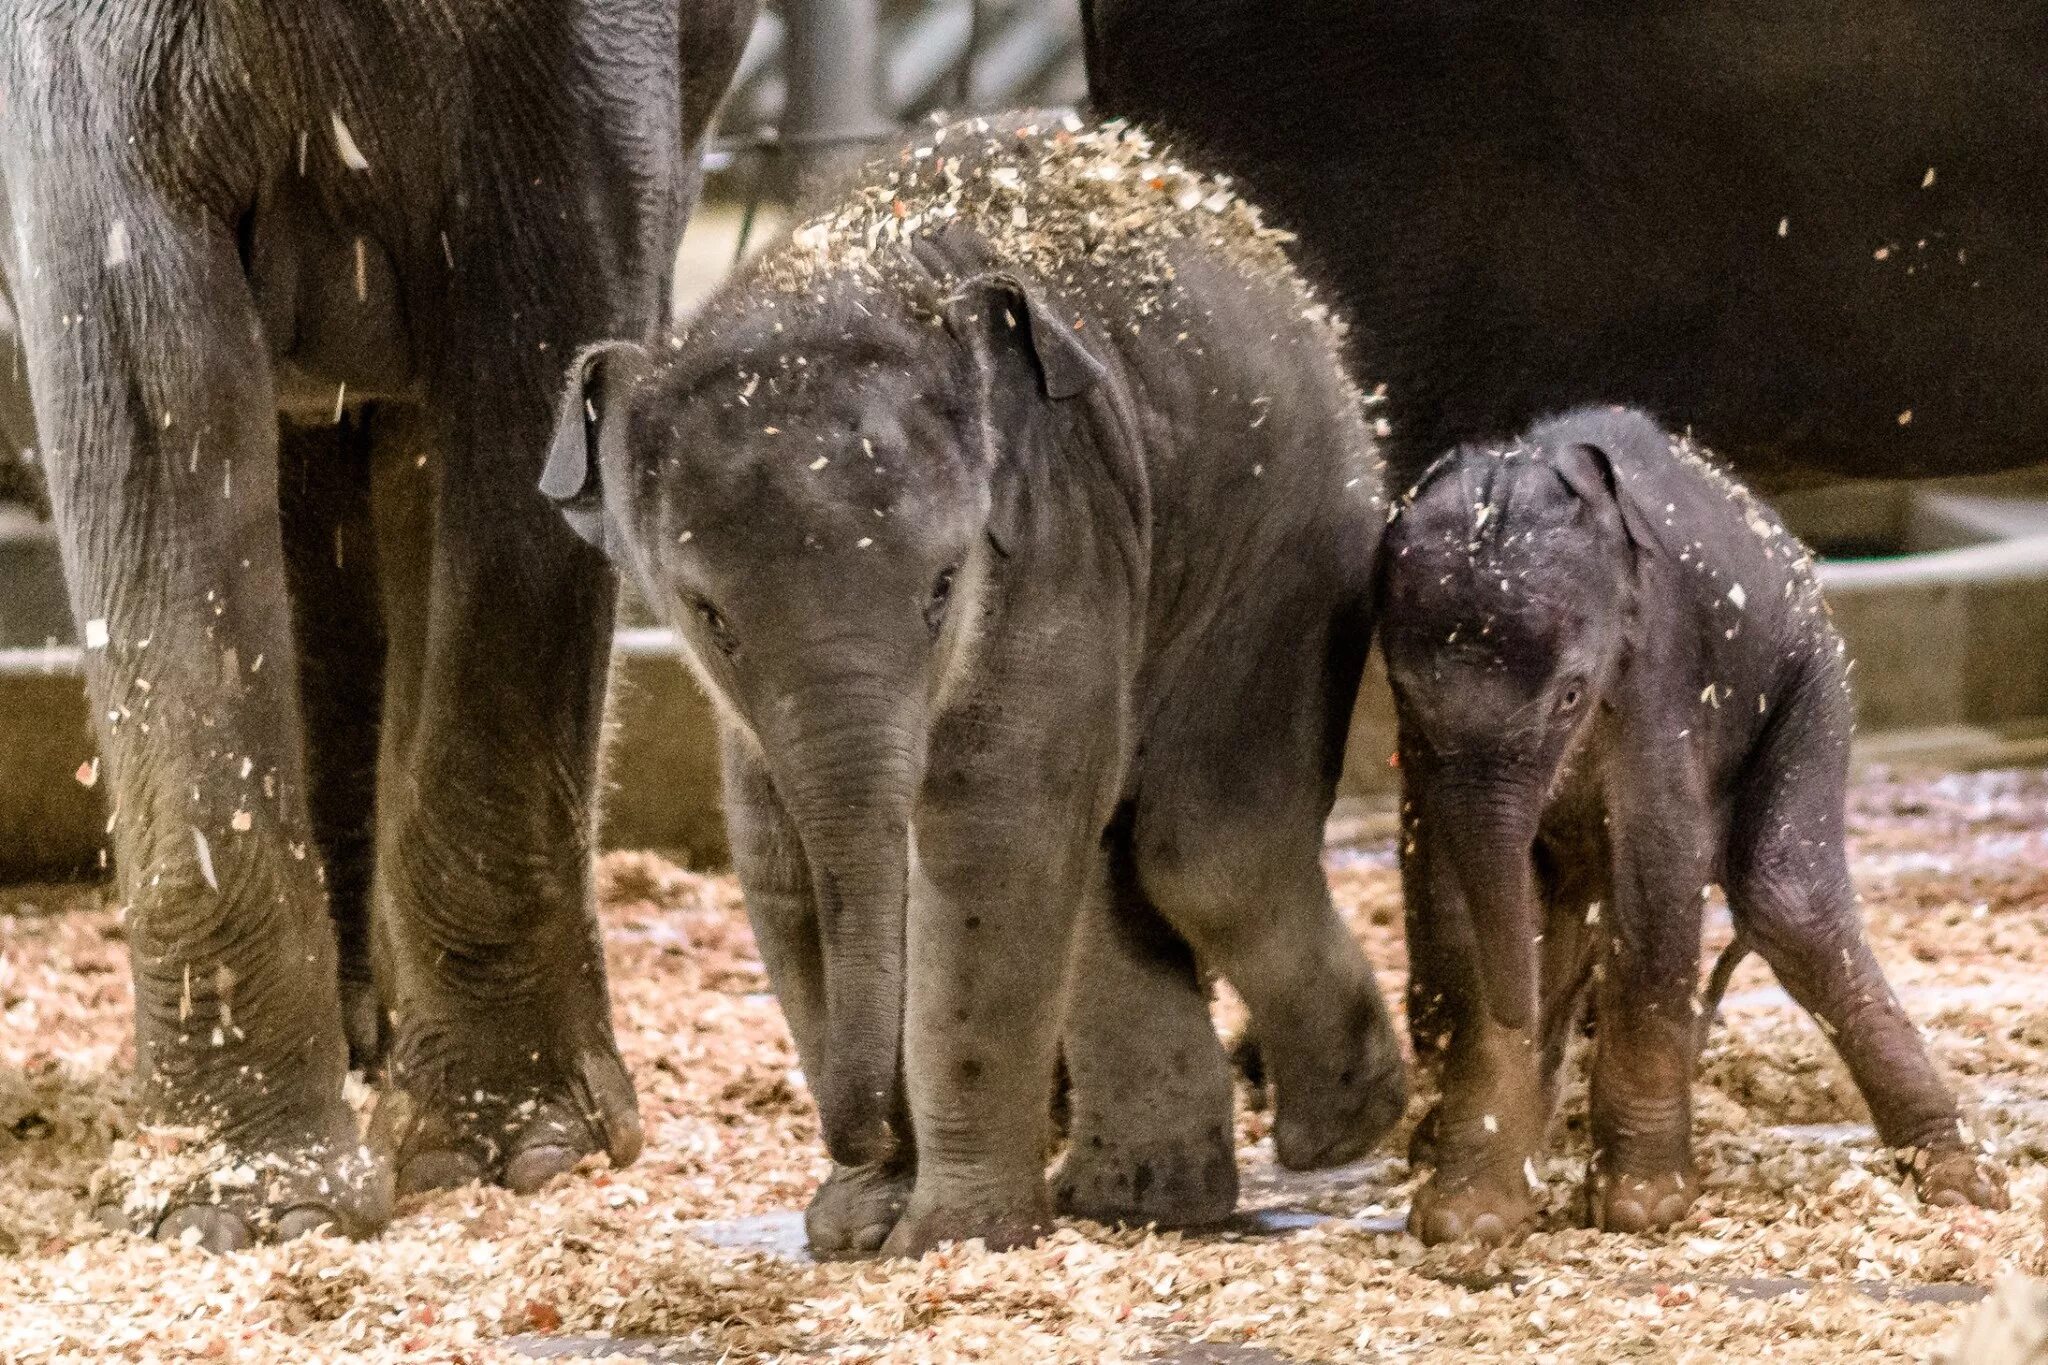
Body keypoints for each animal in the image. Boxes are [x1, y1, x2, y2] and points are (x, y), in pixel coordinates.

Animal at [544, 117, 1409, 1260]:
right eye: (708, 615)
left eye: (946, 584)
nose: (864, 1144)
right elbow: (779, 858)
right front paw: (865, 1219)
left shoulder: (1054, 529)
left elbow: (992, 830)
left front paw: (945, 1236)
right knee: (1114, 853)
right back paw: (1142, 1196)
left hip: (1294, 546)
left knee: (1203, 849)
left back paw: (1334, 1126)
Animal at [1368, 405, 2007, 1252]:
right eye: (1405, 689)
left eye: (1571, 694)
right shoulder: (1420, 754)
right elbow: (1449, 894)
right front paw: (1470, 1215)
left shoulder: (1660, 675)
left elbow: (1660, 861)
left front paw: (1642, 1208)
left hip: (1817, 682)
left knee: (1789, 902)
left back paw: (1960, 1180)